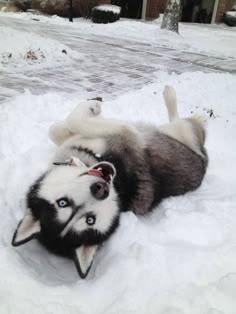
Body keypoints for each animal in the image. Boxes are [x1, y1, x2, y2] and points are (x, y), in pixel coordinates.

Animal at [12, 87, 207, 278]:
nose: (100, 189)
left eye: (62, 203)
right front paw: (91, 108)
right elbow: (73, 124)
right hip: (184, 135)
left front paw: (89, 109)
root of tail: (203, 164)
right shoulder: (127, 134)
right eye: (90, 220)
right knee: (185, 125)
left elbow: (61, 128)